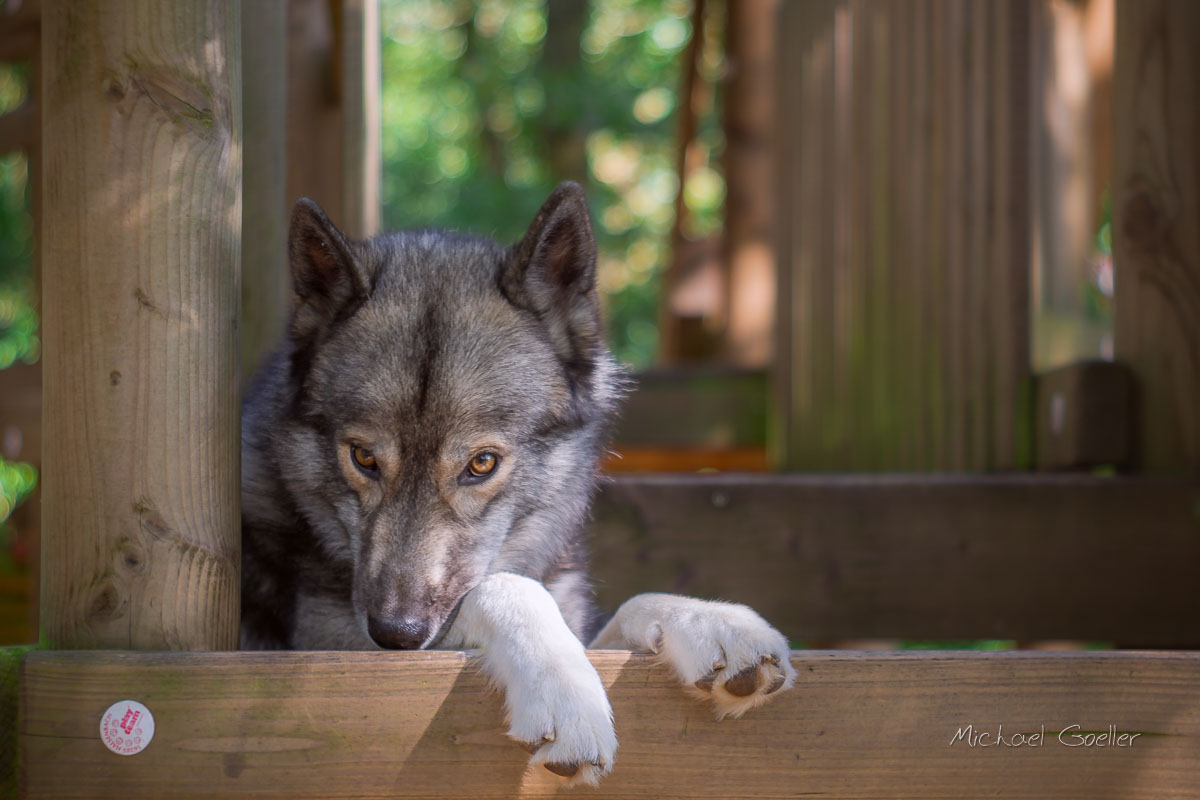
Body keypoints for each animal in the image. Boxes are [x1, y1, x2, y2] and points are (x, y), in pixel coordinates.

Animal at [240, 179, 796, 782]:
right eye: (363, 457)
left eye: (481, 464)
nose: (395, 635)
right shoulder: (332, 645)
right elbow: (505, 588)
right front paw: (565, 691)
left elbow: (630, 605)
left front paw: (709, 620)